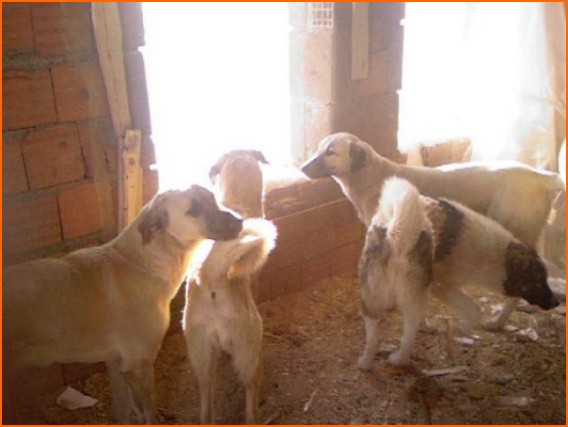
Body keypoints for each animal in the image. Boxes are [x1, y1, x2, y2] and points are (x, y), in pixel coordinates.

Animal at [2, 187, 243, 424]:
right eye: (193, 210)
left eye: (212, 198)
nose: (239, 221)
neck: (142, 264)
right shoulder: (139, 366)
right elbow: (147, 414)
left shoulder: (116, 364)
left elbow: (123, 412)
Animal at [302, 132, 564, 330]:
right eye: (319, 148)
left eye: (331, 152)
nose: (302, 168)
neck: (372, 178)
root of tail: (540, 176)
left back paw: (498, 321)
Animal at [360, 178, 560, 372]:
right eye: (537, 282)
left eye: (543, 280)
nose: (556, 303)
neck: (496, 255)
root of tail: (397, 233)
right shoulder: (442, 287)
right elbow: (474, 309)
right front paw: (464, 328)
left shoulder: (435, 288)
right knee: (403, 330)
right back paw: (395, 359)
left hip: (379, 295)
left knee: (379, 333)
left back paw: (368, 363)